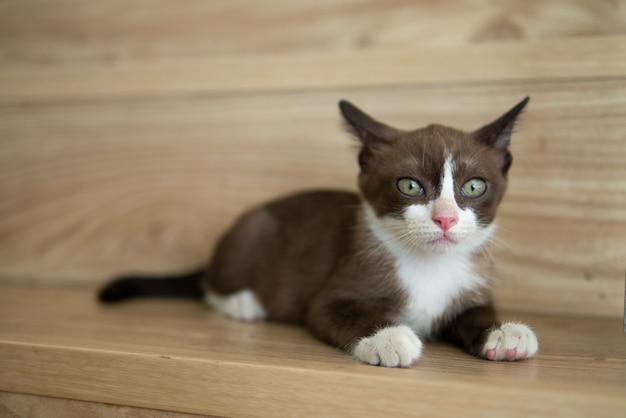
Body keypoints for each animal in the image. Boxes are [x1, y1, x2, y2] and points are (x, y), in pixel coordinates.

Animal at [98, 98, 536, 366]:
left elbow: (475, 312)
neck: (429, 265)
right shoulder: (336, 287)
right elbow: (336, 310)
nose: (445, 218)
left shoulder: (471, 285)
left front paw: (504, 332)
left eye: (473, 187)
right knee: (210, 282)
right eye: (410, 186)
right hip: (255, 226)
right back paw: (243, 303)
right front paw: (389, 338)